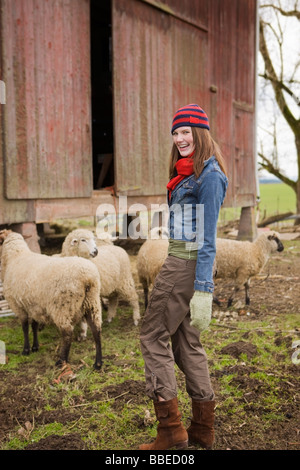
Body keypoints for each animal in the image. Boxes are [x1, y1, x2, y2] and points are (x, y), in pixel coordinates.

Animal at [0, 229, 103, 370]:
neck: (15, 256)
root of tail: (87, 277)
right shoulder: (34, 305)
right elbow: (34, 325)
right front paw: (35, 346)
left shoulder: (18, 305)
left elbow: (25, 327)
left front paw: (26, 350)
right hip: (92, 303)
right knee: (96, 330)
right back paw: (98, 363)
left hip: (63, 306)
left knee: (67, 333)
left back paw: (62, 361)